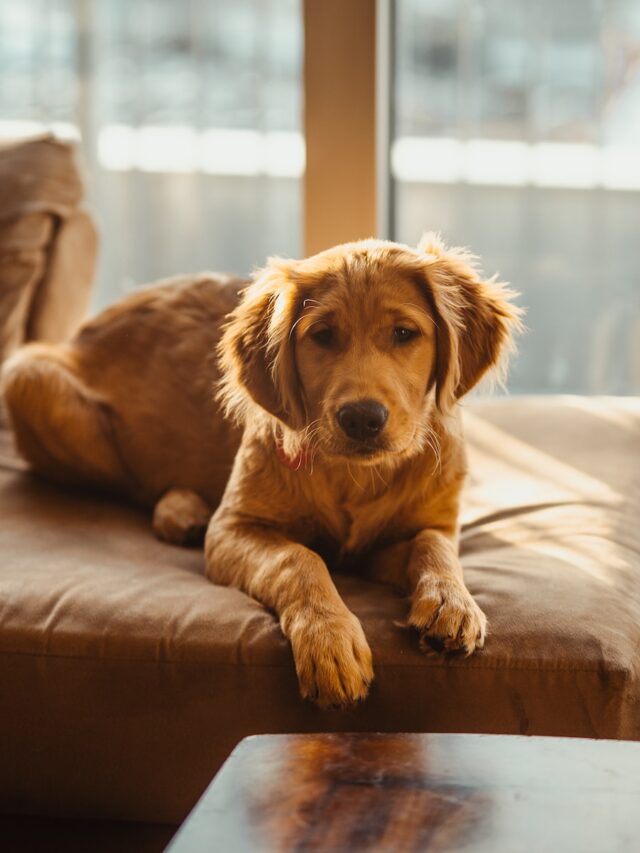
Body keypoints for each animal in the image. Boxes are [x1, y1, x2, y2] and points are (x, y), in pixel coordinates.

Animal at [1, 235, 520, 712]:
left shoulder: (410, 532)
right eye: (323, 335)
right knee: (133, 486)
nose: (362, 419)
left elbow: (433, 547)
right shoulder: (233, 528)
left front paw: (452, 603)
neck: (352, 475)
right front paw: (330, 642)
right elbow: (298, 560)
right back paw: (180, 510)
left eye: (405, 333)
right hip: (31, 380)